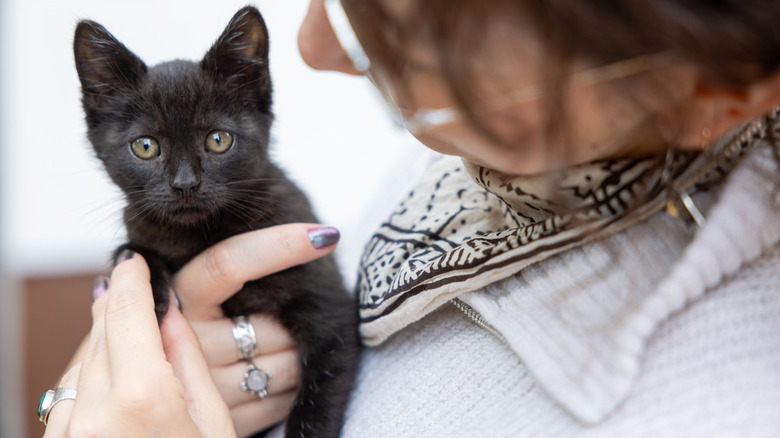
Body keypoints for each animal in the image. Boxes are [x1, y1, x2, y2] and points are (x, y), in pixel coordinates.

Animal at [74, 6, 362, 438]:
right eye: (145, 146)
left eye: (218, 140)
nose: (185, 184)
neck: (201, 235)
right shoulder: (138, 225)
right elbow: (133, 251)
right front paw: (152, 289)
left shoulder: (330, 307)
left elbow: (321, 389)